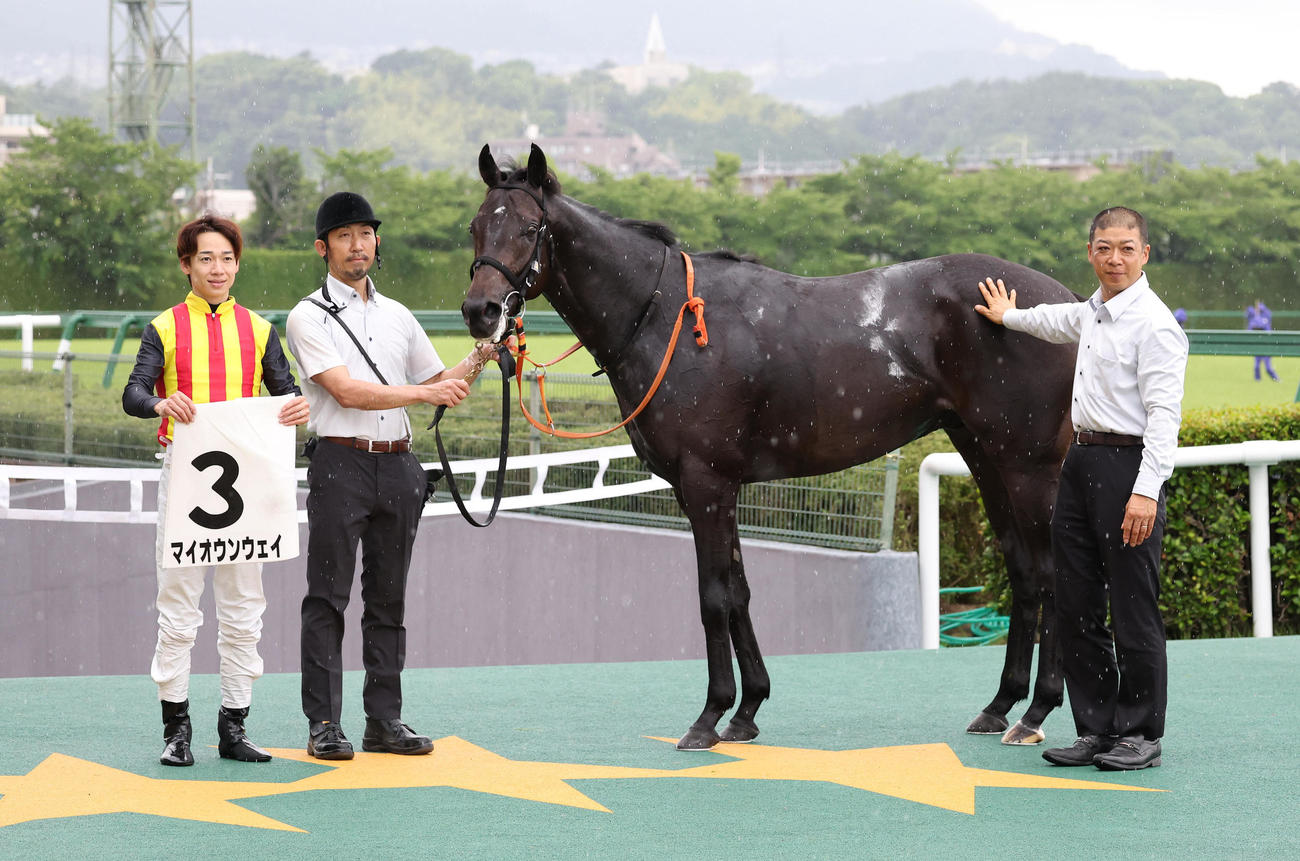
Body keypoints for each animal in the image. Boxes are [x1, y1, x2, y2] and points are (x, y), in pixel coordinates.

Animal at [462, 143, 1077, 751]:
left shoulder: (706, 481)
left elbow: (713, 596)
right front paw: (747, 709)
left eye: (529, 227)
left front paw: (709, 716)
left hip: (1030, 468)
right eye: (476, 225)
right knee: (1024, 572)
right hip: (986, 458)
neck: (666, 317)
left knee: (1051, 575)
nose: (479, 311)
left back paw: (1037, 710)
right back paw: (1000, 705)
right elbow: (739, 592)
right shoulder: (709, 488)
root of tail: (1065, 302)